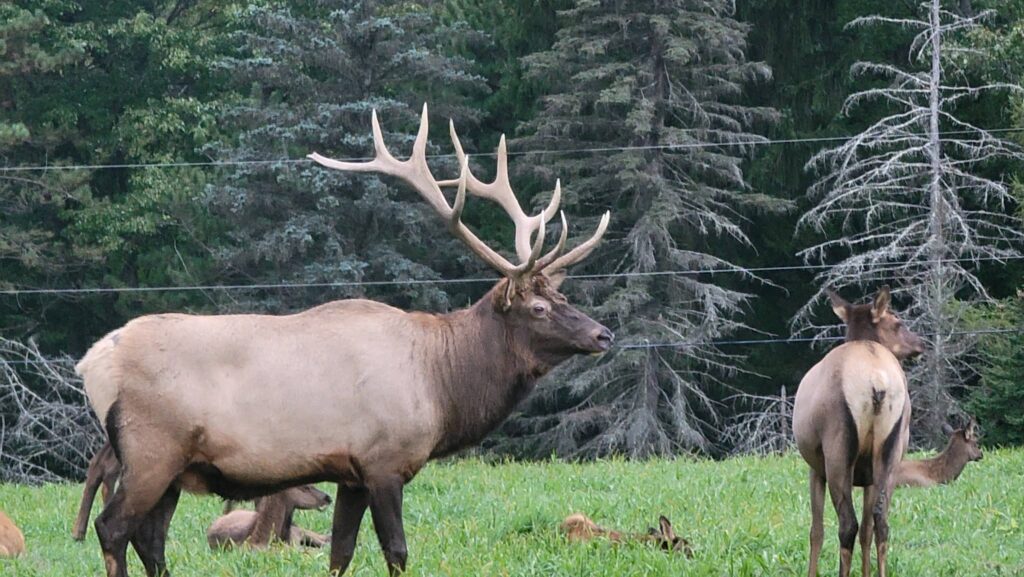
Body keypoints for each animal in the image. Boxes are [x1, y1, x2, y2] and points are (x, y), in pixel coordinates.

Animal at [75, 104, 613, 577]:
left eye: (562, 296)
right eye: (538, 307)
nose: (603, 334)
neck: (441, 384)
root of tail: (90, 363)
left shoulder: (349, 474)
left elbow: (341, 552)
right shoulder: (383, 461)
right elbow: (396, 550)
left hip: (172, 467)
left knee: (151, 538)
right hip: (151, 449)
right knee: (113, 528)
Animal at [793, 286, 925, 577]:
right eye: (898, 322)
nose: (921, 343)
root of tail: (876, 381)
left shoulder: (815, 467)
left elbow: (816, 531)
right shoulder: (869, 477)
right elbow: (867, 530)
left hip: (837, 451)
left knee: (847, 525)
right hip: (890, 450)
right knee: (880, 522)